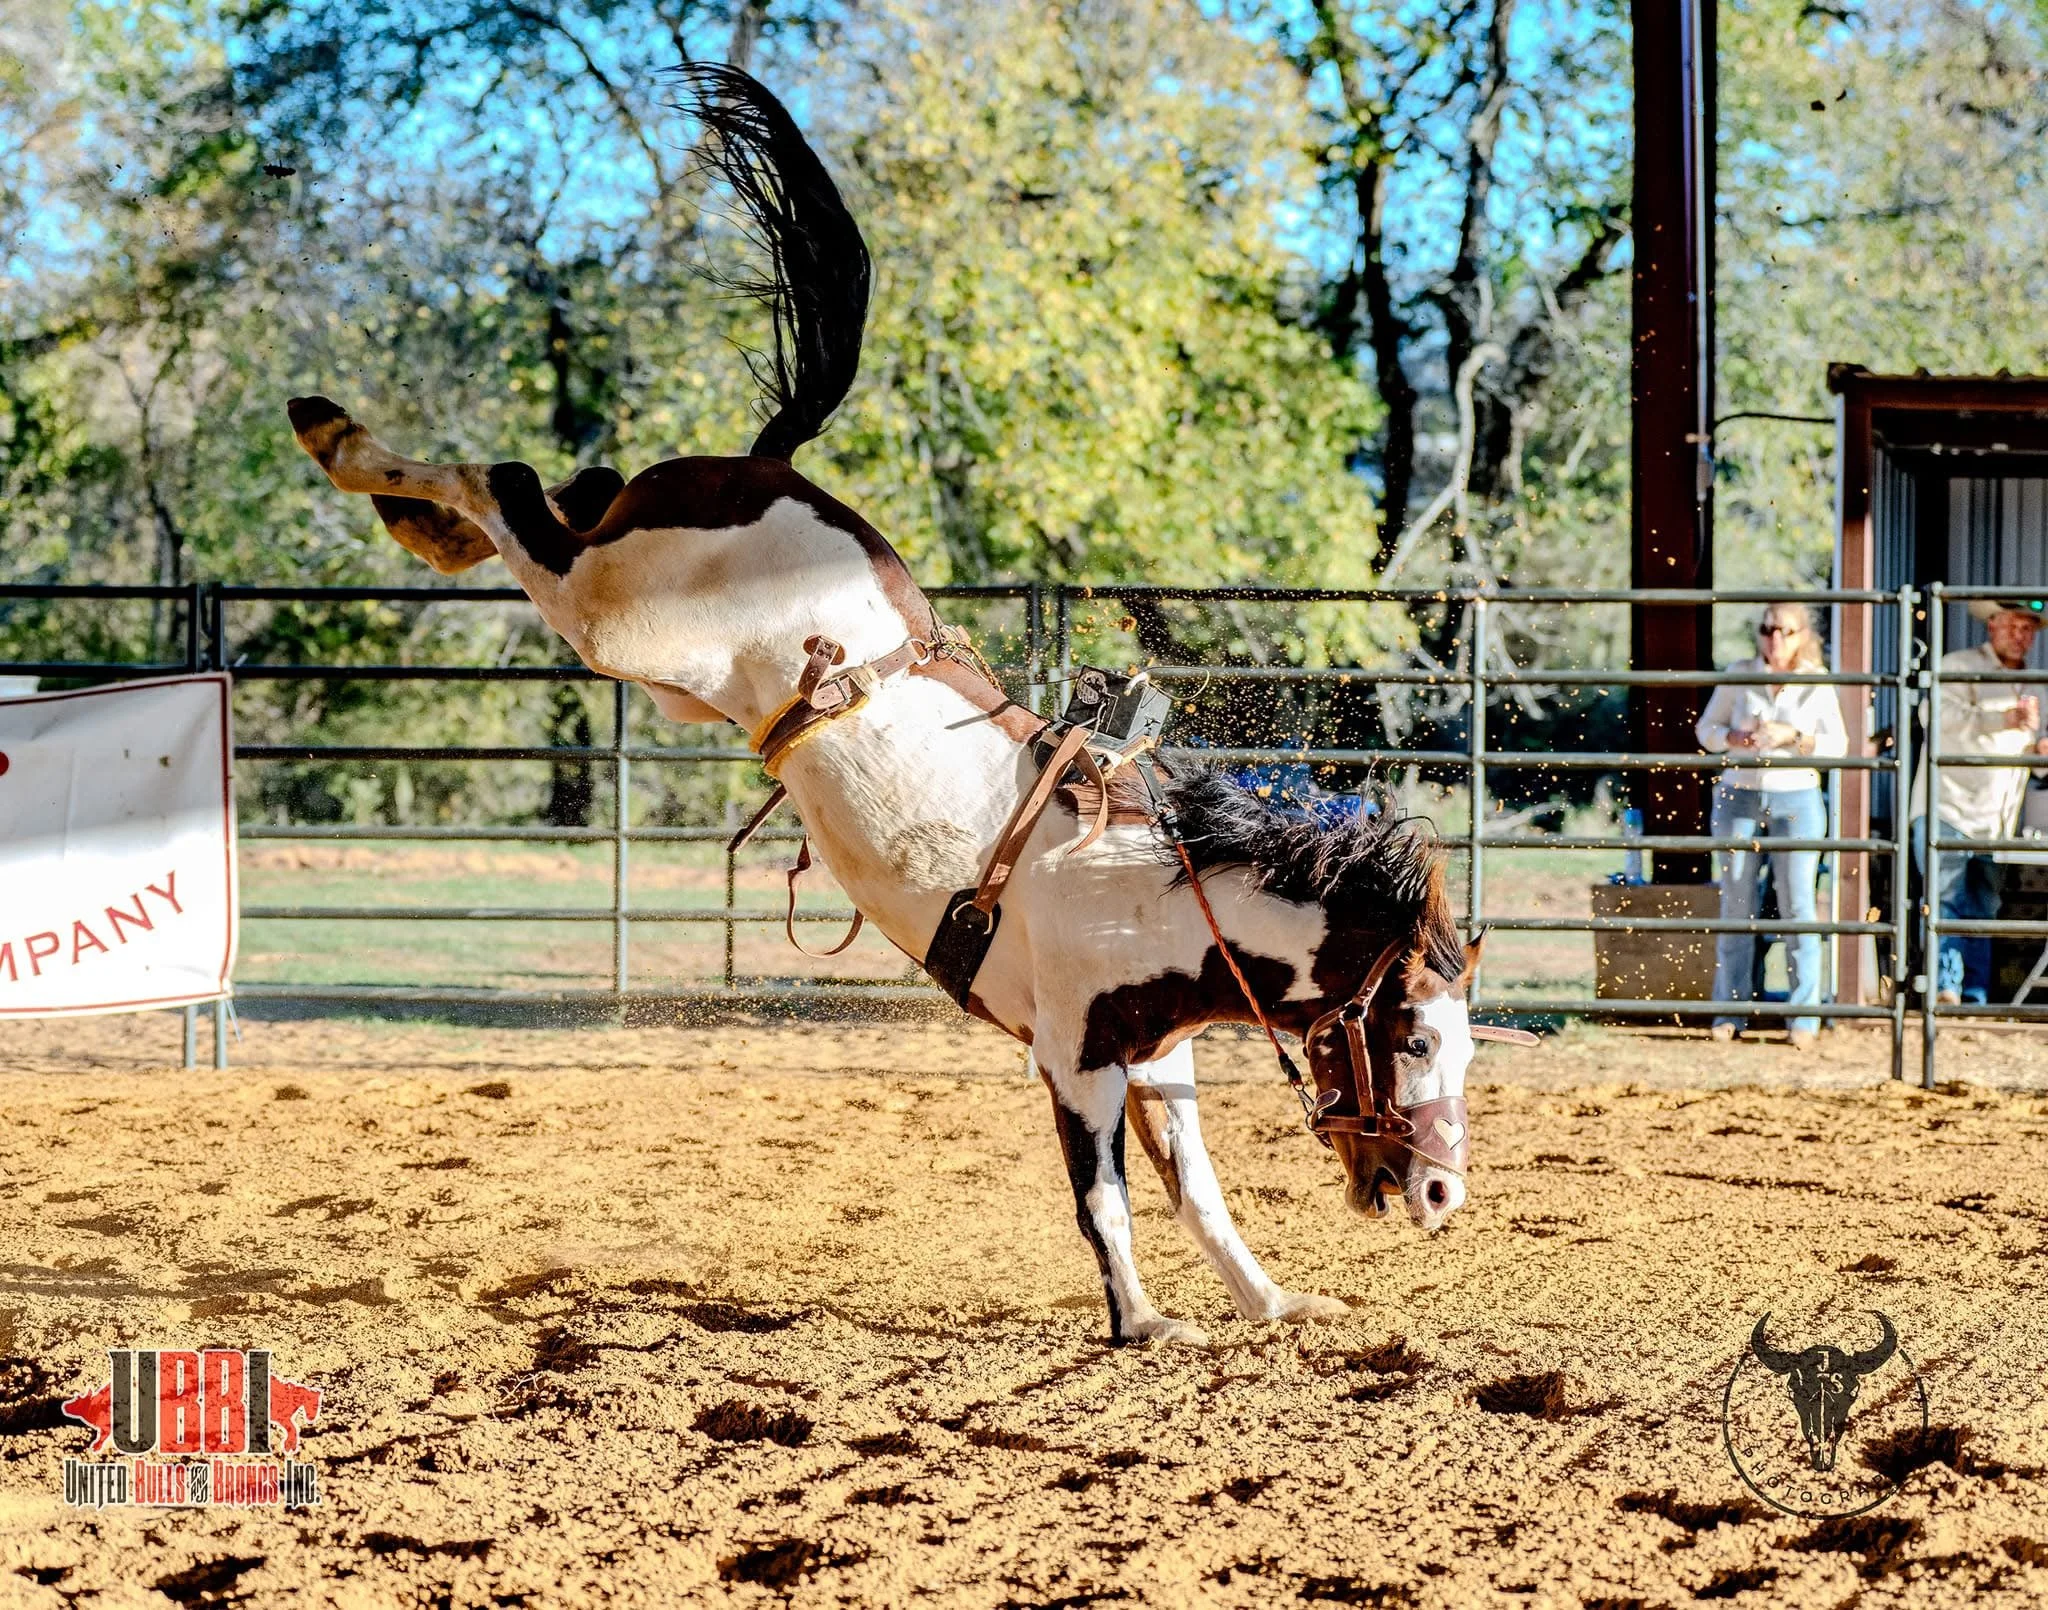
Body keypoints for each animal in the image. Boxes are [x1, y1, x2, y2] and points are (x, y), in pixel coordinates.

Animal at [284, 63, 1522, 1346]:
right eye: (1415, 1035)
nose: (1440, 1191)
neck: (1162, 888)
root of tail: (769, 469)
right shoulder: (1077, 1054)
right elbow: (1104, 1199)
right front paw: (1139, 1322)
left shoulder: (1156, 1055)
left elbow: (1199, 1191)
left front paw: (1273, 1300)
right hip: (615, 615)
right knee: (510, 488)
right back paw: (339, 437)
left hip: (649, 648)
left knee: (556, 494)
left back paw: (406, 511)